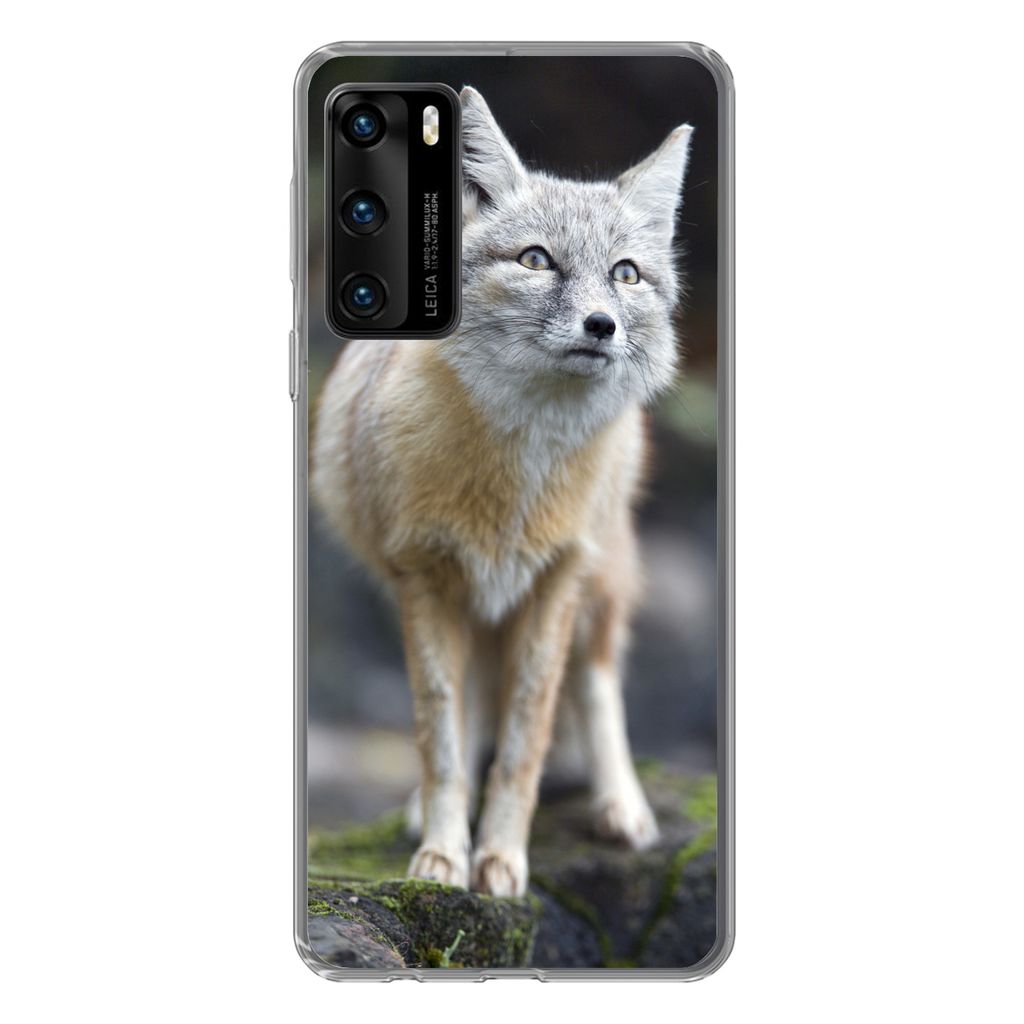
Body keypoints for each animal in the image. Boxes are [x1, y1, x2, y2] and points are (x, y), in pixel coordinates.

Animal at [312, 86, 693, 897]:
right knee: (472, 705)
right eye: (535, 260)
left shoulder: (554, 582)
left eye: (625, 274)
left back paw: (621, 805)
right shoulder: (424, 579)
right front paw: (444, 854)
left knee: (598, 680)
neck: (515, 484)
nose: (601, 325)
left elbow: (528, 737)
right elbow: (442, 734)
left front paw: (502, 857)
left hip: (598, 583)